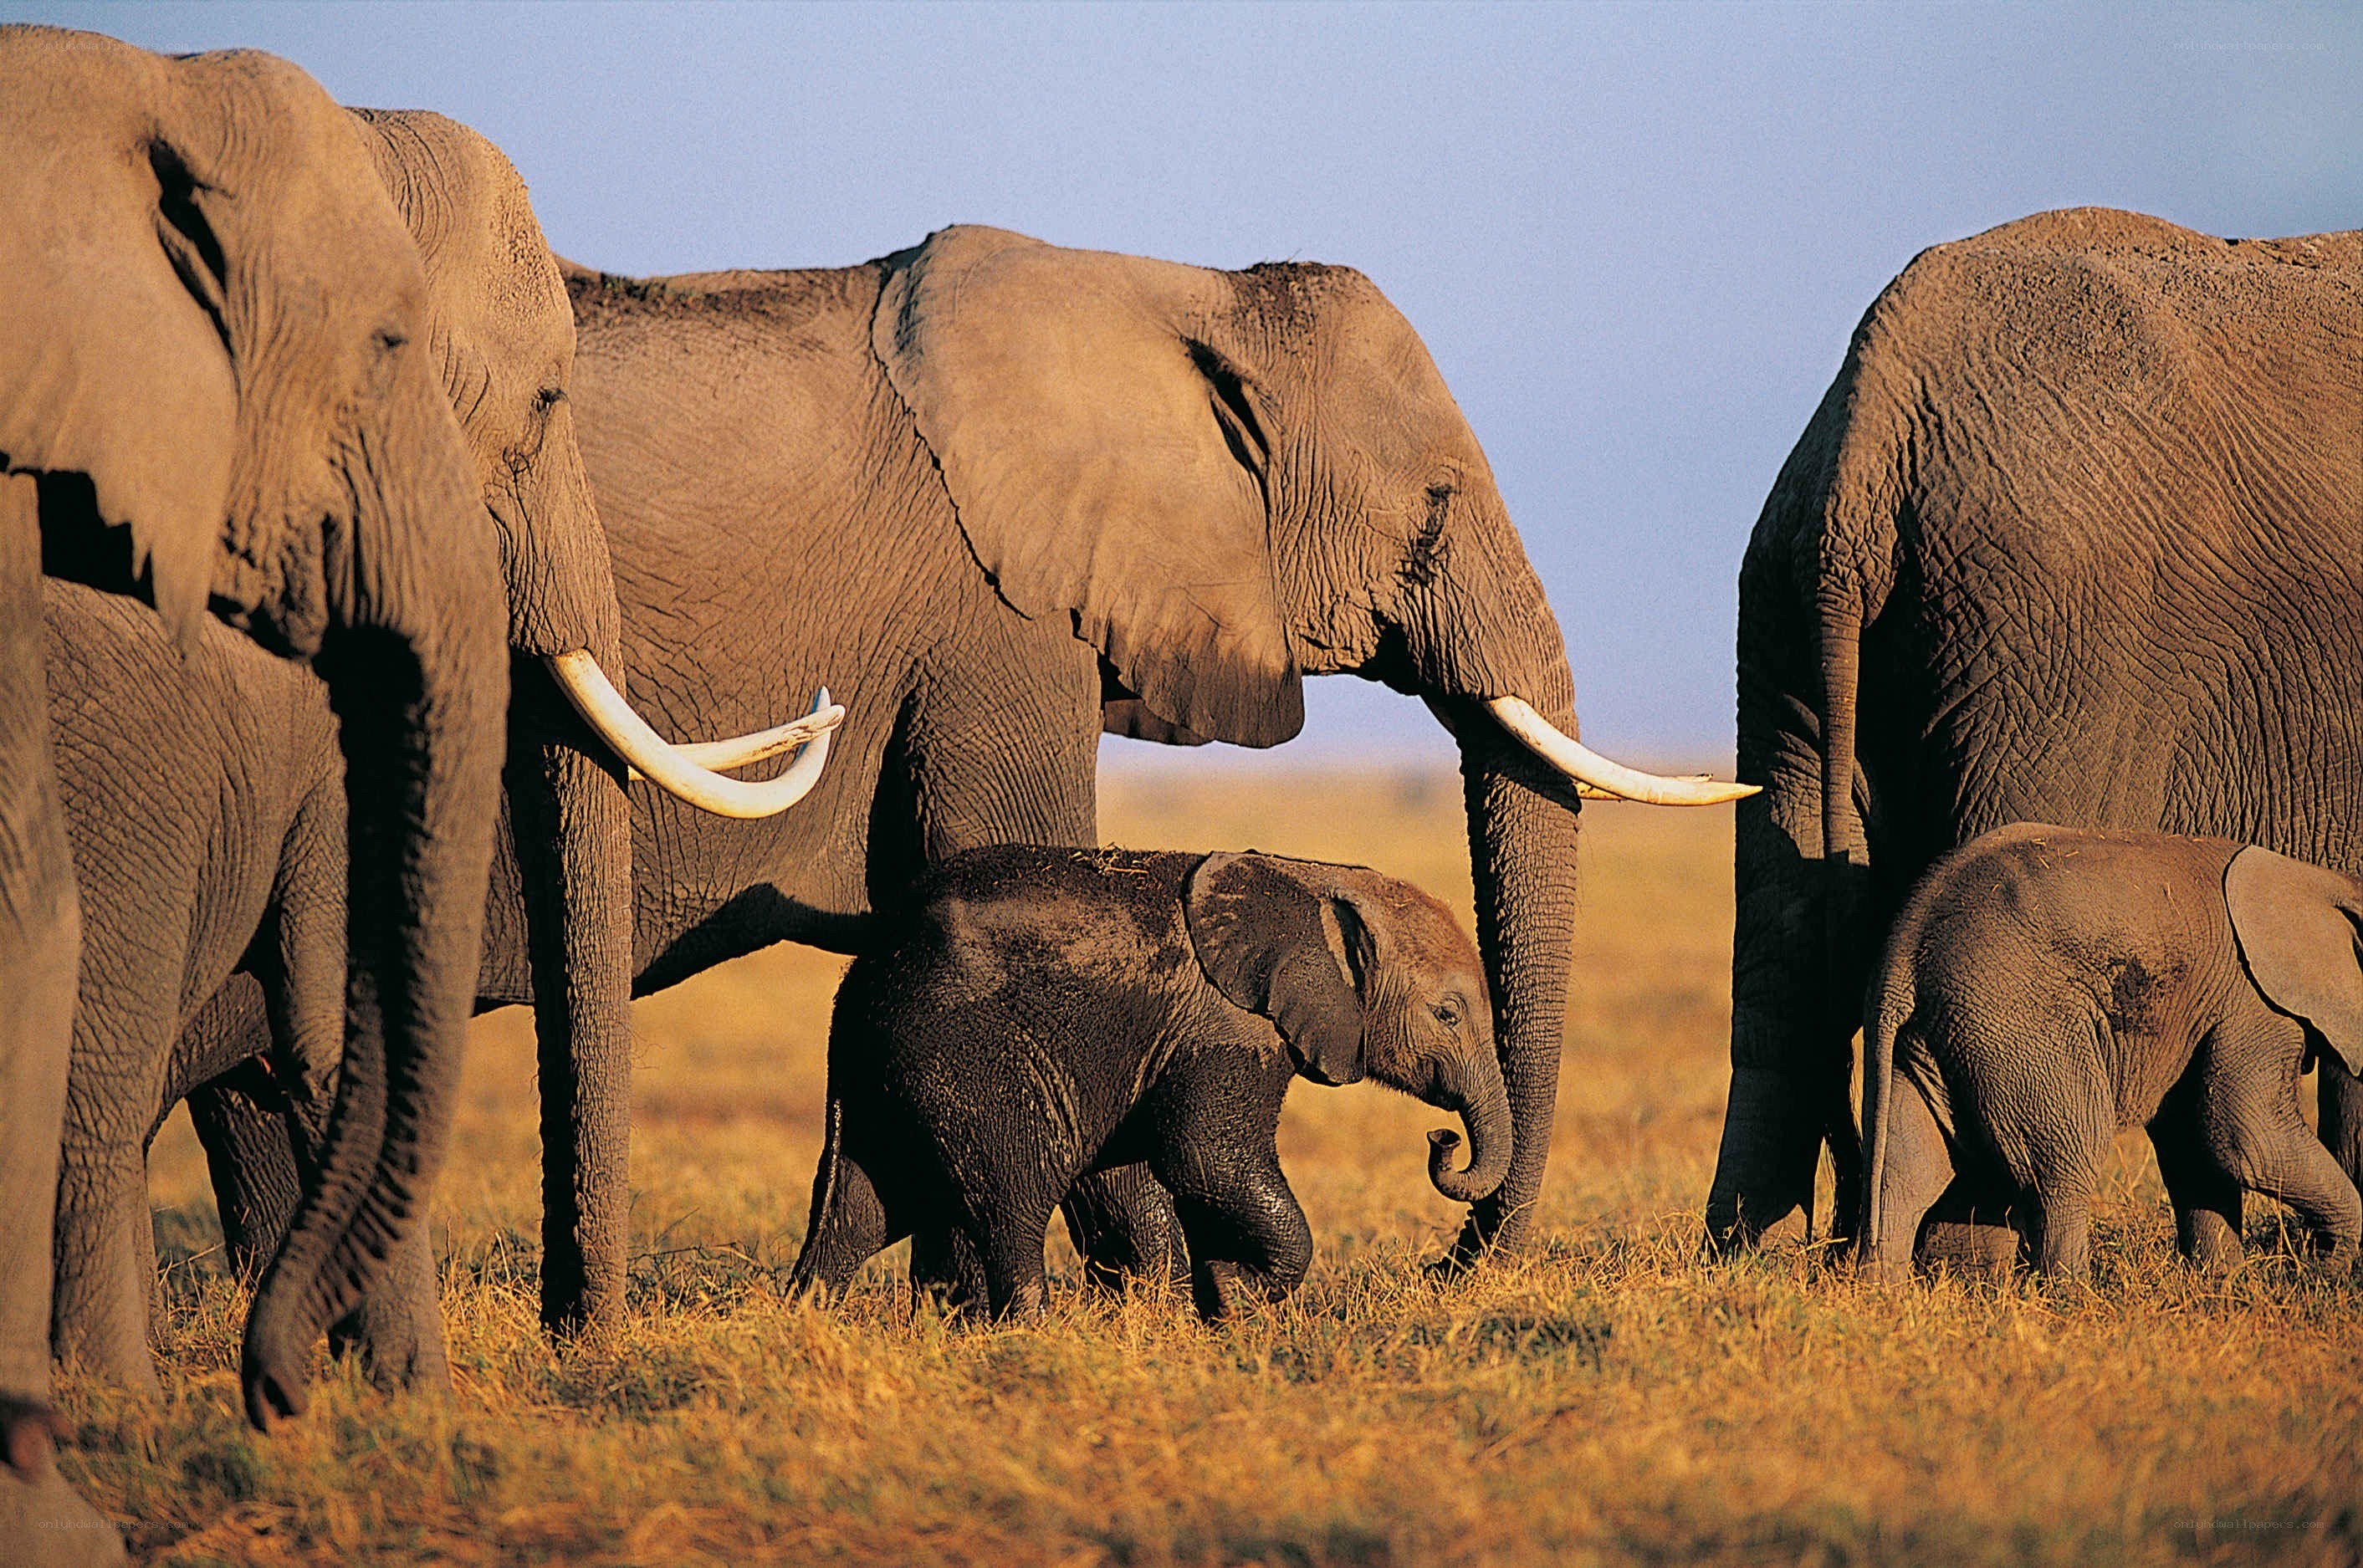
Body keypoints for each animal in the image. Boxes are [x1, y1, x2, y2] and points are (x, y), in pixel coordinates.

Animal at [788, 846, 1509, 1320]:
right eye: (1446, 1014)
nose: (1441, 1138)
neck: (1316, 878)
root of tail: (867, 964)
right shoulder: (1227, 1025)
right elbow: (1204, 1157)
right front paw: (1241, 1290)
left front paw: (1220, 1304)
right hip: (958, 1050)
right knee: (1016, 1191)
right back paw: (1031, 1330)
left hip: (883, 1065)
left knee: (859, 1209)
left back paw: (805, 1319)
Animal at [1859, 823, 2363, 1284]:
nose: (2310, 1264)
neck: (2318, 880)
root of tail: (1907, 946)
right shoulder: (2252, 1001)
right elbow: (2245, 1135)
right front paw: (2328, 1266)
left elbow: (2192, 1142)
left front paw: (2226, 1284)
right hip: (2017, 1023)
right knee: (2064, 1161)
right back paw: (2072, 1294)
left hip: (1931, 1033)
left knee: (1906, 1171)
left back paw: (1884, 1292)